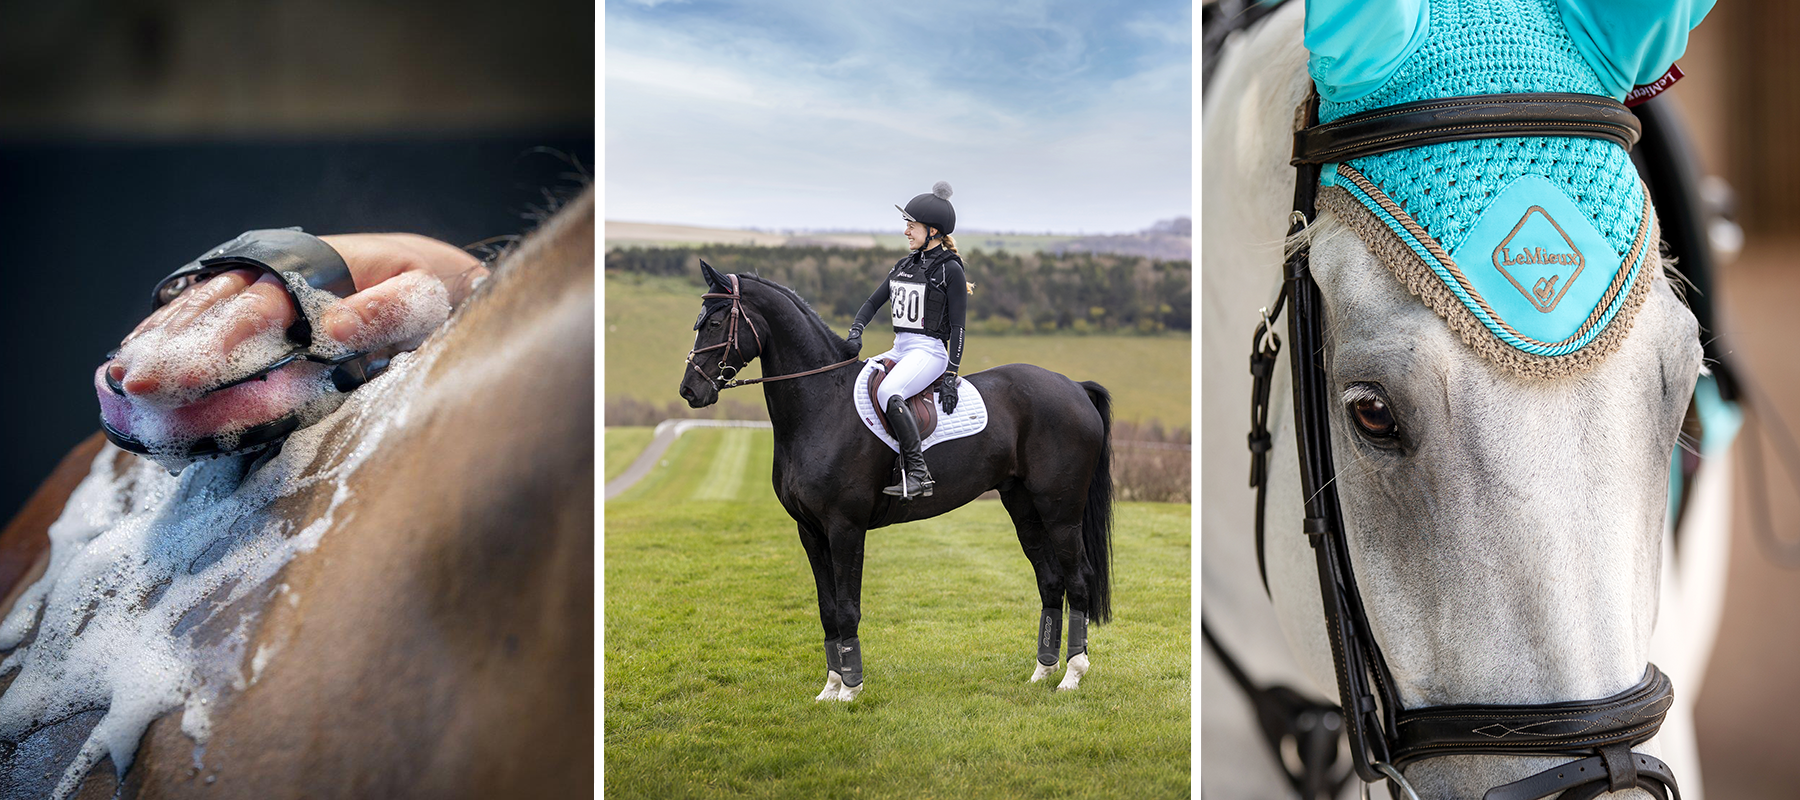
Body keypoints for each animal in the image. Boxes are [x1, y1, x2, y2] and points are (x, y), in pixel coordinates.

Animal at [676, 261, 1113, 700]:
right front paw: (830, 687)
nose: (690, 391)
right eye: (697, 322)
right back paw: (1042, 671)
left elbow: (847, 608)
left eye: (715, 323)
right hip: (1023, 507)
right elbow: (827, 609)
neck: (822, 404)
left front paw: (850, 689)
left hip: (1061, 513)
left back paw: (1072, 675)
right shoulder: (810, 531)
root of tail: (1075, 387)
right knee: (1050, 581)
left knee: (1078, 580)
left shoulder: (845, 528)